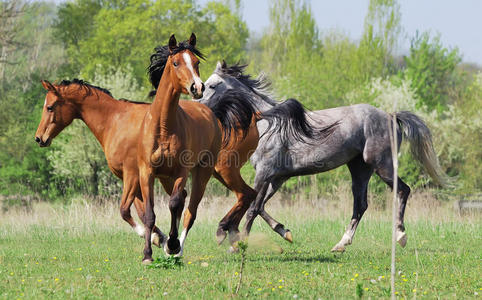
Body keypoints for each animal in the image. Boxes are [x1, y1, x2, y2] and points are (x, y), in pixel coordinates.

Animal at [199, 62, 444, 252]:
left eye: (212, 85)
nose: (200, 107)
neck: (268, 123)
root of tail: (391, 116)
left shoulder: (265, 173)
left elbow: (251, 208)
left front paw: (234, 241)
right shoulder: (277, 178)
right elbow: (258, 207)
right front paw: (284, 232)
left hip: (382, 164)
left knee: (402, 190)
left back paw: (400, 236)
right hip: (359, 169)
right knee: (360, 205)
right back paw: (341, 244)